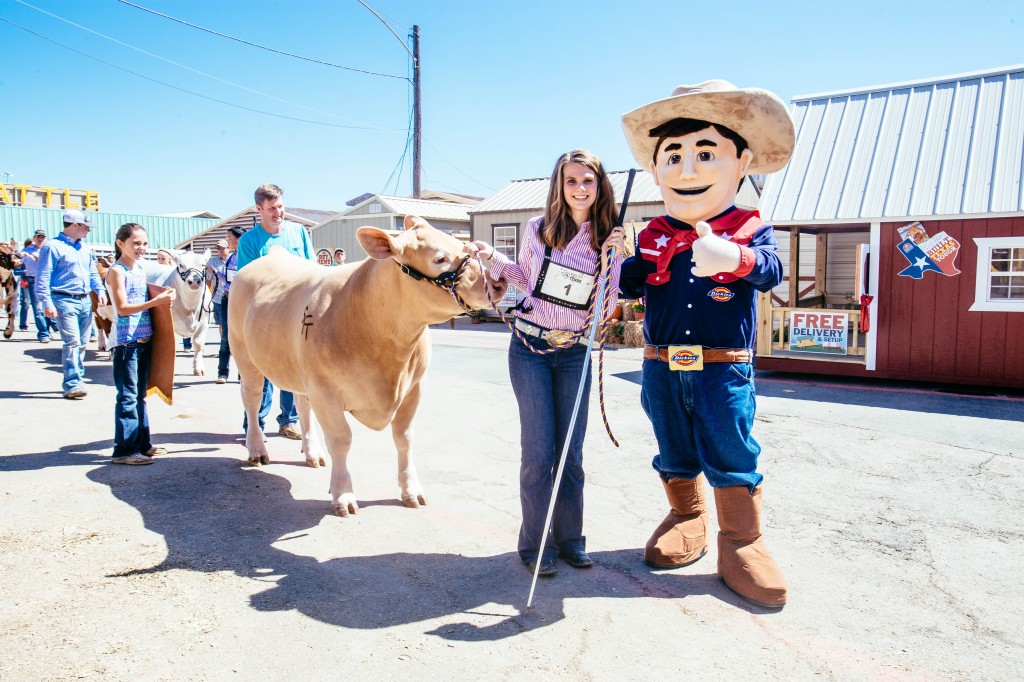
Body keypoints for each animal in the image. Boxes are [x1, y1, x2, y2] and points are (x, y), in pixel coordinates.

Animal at [146, 246, 211, 374]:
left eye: (203, 265)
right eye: (181, 265)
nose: (194, 281)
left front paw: (198, 368)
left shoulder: (204, 322)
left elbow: (198, 343)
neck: (190, 304)